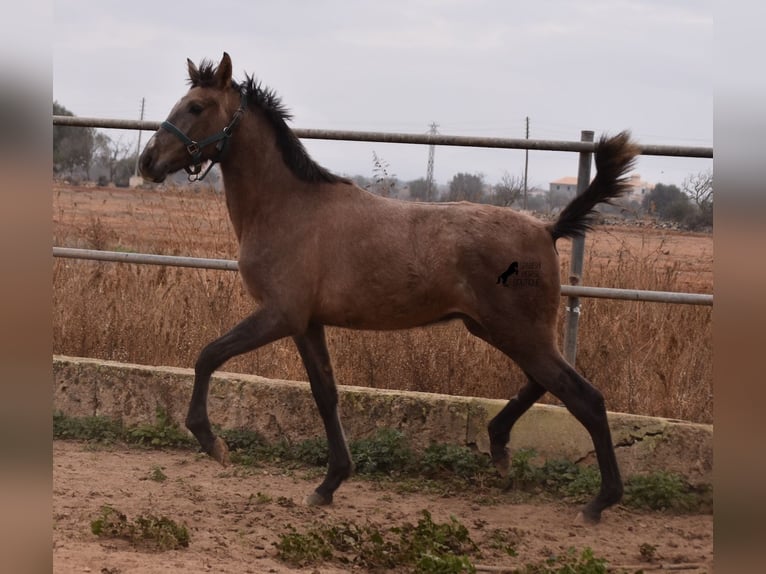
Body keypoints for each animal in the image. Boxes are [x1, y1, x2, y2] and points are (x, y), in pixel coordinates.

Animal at [140, 53, 640, 528]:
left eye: (196, 107)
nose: (147, 162)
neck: (288, 208)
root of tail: (547, 228)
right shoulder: (307, 323)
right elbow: (325, 394)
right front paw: (328, 484)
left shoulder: (279, 314)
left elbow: (208, 355)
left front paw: (213, 443)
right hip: (499, 329)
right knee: (546, 382)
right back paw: (499, 447)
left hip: (517, 331)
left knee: (584, 397)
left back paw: (597, 502)